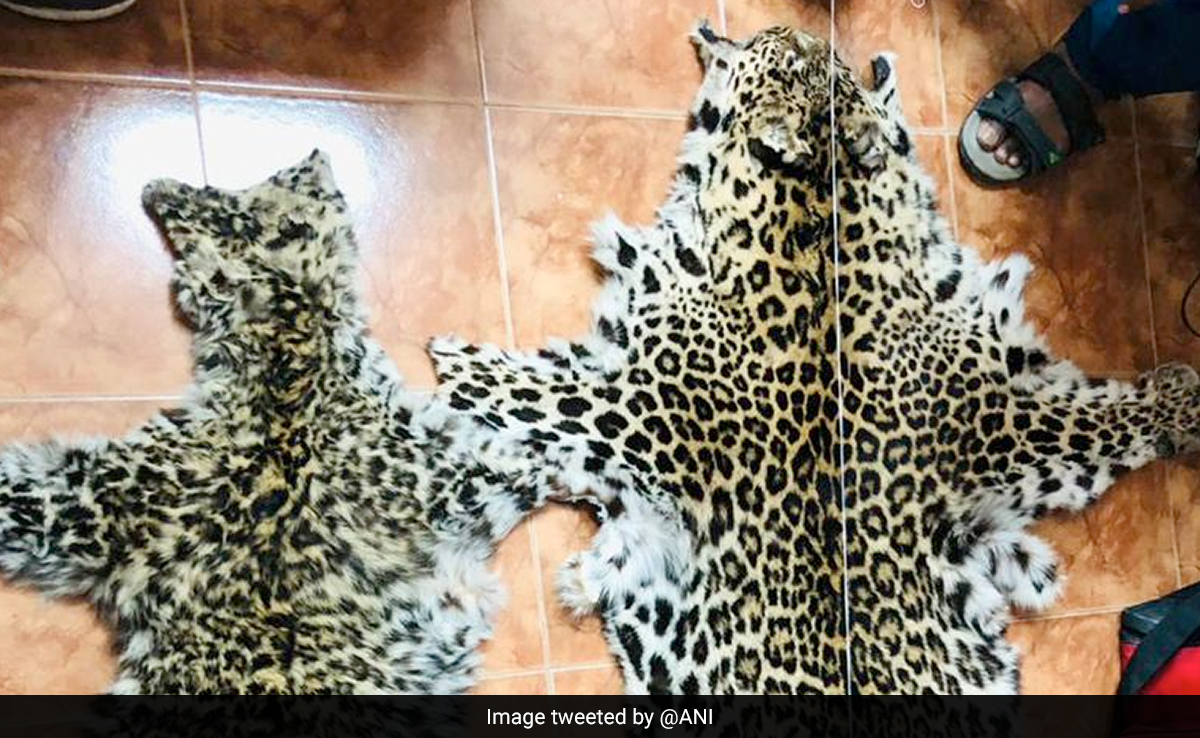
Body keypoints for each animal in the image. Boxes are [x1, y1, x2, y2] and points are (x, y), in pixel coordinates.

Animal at [0, 150, 548, 693]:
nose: (314, 153)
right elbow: (539, 451)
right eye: (282, 179)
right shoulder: (490, 466)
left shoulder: (88, 501)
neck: (287, 355)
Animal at [430, 23, 1200, 694]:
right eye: (801, 59)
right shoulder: (991, 413)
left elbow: (536, 394)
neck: (809, 213)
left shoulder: (642, 404)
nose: (800, 30)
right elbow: (1089, 423)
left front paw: (448, 363)